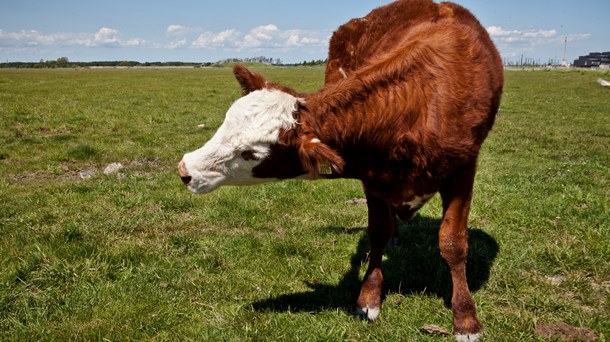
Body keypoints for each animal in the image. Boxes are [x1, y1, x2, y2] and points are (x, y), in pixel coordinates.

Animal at [176, 1, 498, 340]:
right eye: (226, 124)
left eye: (250, 153)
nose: (185, 169)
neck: (421, 102)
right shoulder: (372, 177)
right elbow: (377, 233)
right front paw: (369, 298)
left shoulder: (463, 171)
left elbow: (453, 243)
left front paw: (465, 318)